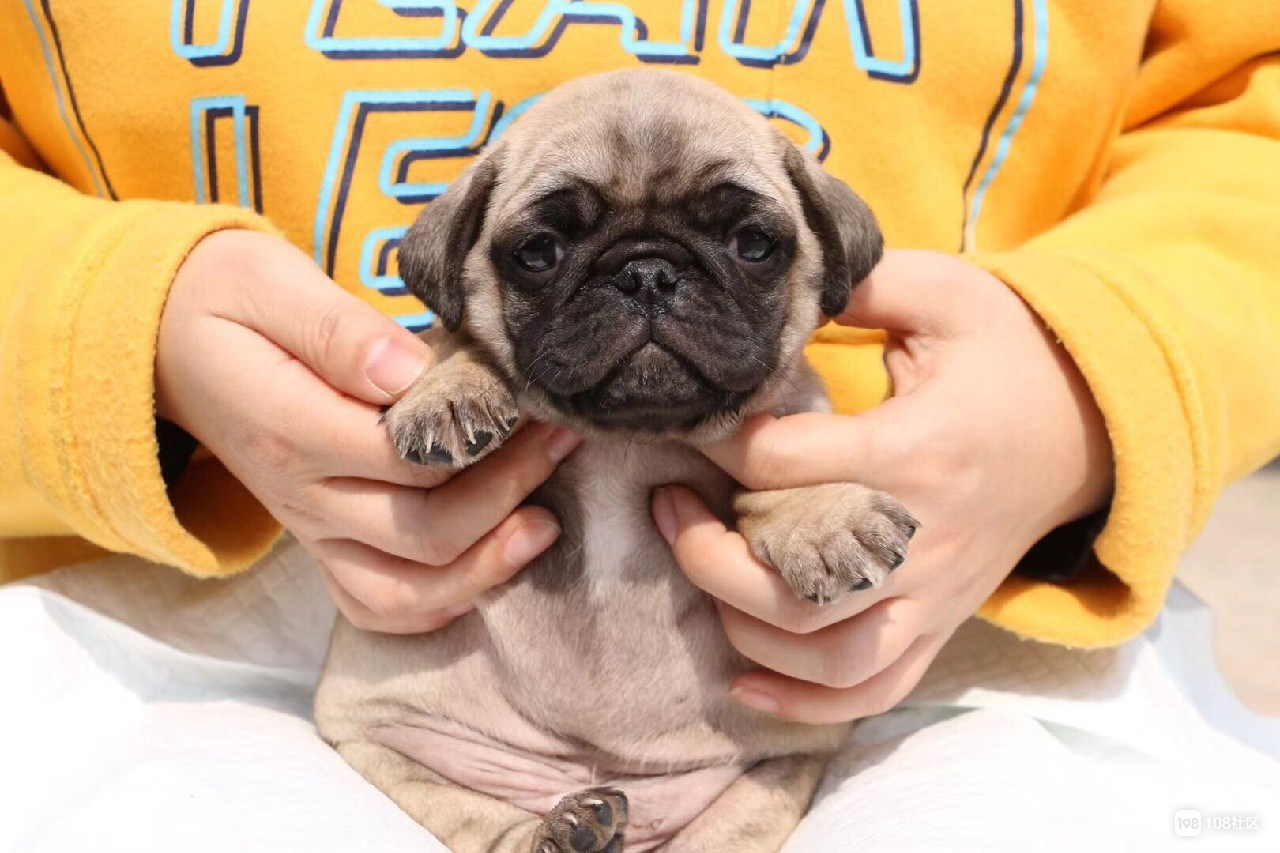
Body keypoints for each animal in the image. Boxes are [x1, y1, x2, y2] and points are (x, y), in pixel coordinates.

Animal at [314, 69, 917, 853]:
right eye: (540, 252)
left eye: (753, 243)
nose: (649, 273)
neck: (625, 437)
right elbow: (453, 341)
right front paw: (451, 390)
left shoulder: (789, 405)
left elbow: (793, 442)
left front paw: (823, 519)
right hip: (403, 748)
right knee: (490, 824)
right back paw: (568, 826)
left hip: (766, 780)